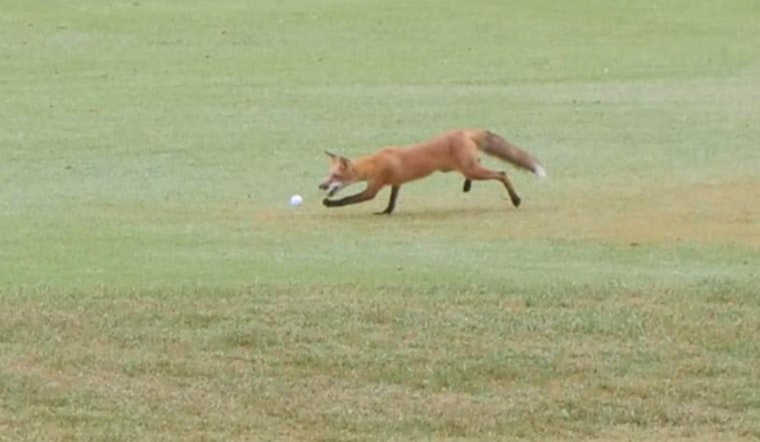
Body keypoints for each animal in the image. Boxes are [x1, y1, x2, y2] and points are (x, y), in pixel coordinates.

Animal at [318, 129, 546, 214]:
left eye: (335, 176)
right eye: (328, 174)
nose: (321, 185)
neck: (373, 163)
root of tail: (465, 131)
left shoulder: (373, 188)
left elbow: (349, 199)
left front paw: (330, 203)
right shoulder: (396, 183)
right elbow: (392, 202)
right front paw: (386, 212)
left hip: (472, 169)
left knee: (502, 174)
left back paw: (515, 199)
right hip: (466, 166)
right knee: (480, 166)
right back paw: (467, 185)